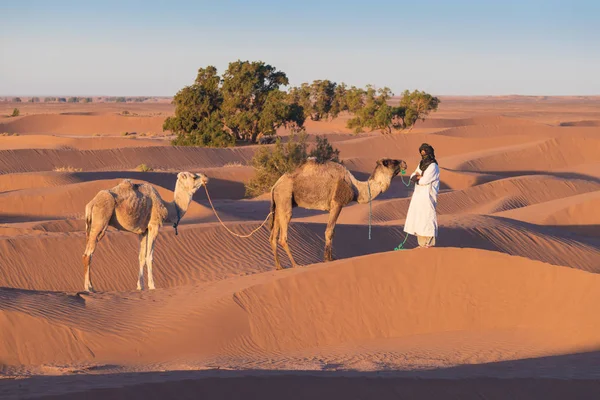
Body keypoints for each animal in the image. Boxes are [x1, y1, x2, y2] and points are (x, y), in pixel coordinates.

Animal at [268, 157, 406, 268]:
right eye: (391, 161)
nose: (404, 163)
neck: (356, 188)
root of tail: (275, 186)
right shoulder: (337, 204)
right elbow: (330, 231)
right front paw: (328, 259)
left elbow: (331, 231)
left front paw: (330, 258)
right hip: (285, 196)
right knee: (283, 236)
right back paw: (296, 265)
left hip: (279, 203)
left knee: (273, 236)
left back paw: (279, 267)